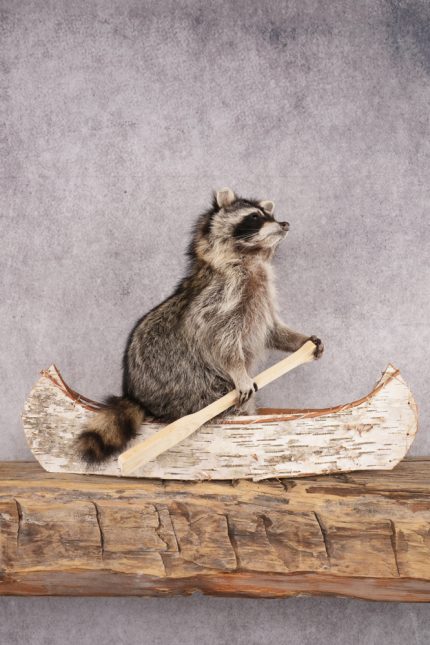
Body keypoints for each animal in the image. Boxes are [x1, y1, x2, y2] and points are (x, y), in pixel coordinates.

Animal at [76, 187, 323, 464]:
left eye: (270, 215)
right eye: (255, 217)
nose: (284, 224)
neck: (251, 257)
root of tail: (136, 396)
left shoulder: (263, 297)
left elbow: (272, 331)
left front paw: (299, 340)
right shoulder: (221, 297)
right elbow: (222, 341)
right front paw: (240, 372)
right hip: (193, 388)